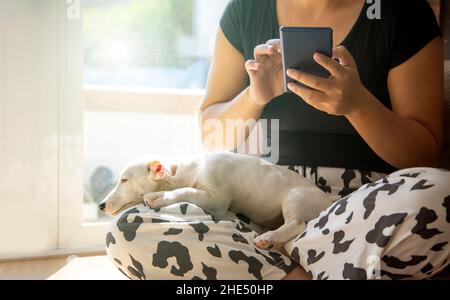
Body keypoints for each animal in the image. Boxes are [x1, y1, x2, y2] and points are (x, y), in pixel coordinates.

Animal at [100, 152, 332, 248]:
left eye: (124, 180)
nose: (101, 205)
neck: (187, 169)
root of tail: (328, 202)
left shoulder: (216, 197)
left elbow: (187, 190)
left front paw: (158, 197)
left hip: (296, 197)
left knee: (297, 224)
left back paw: (268, 238)